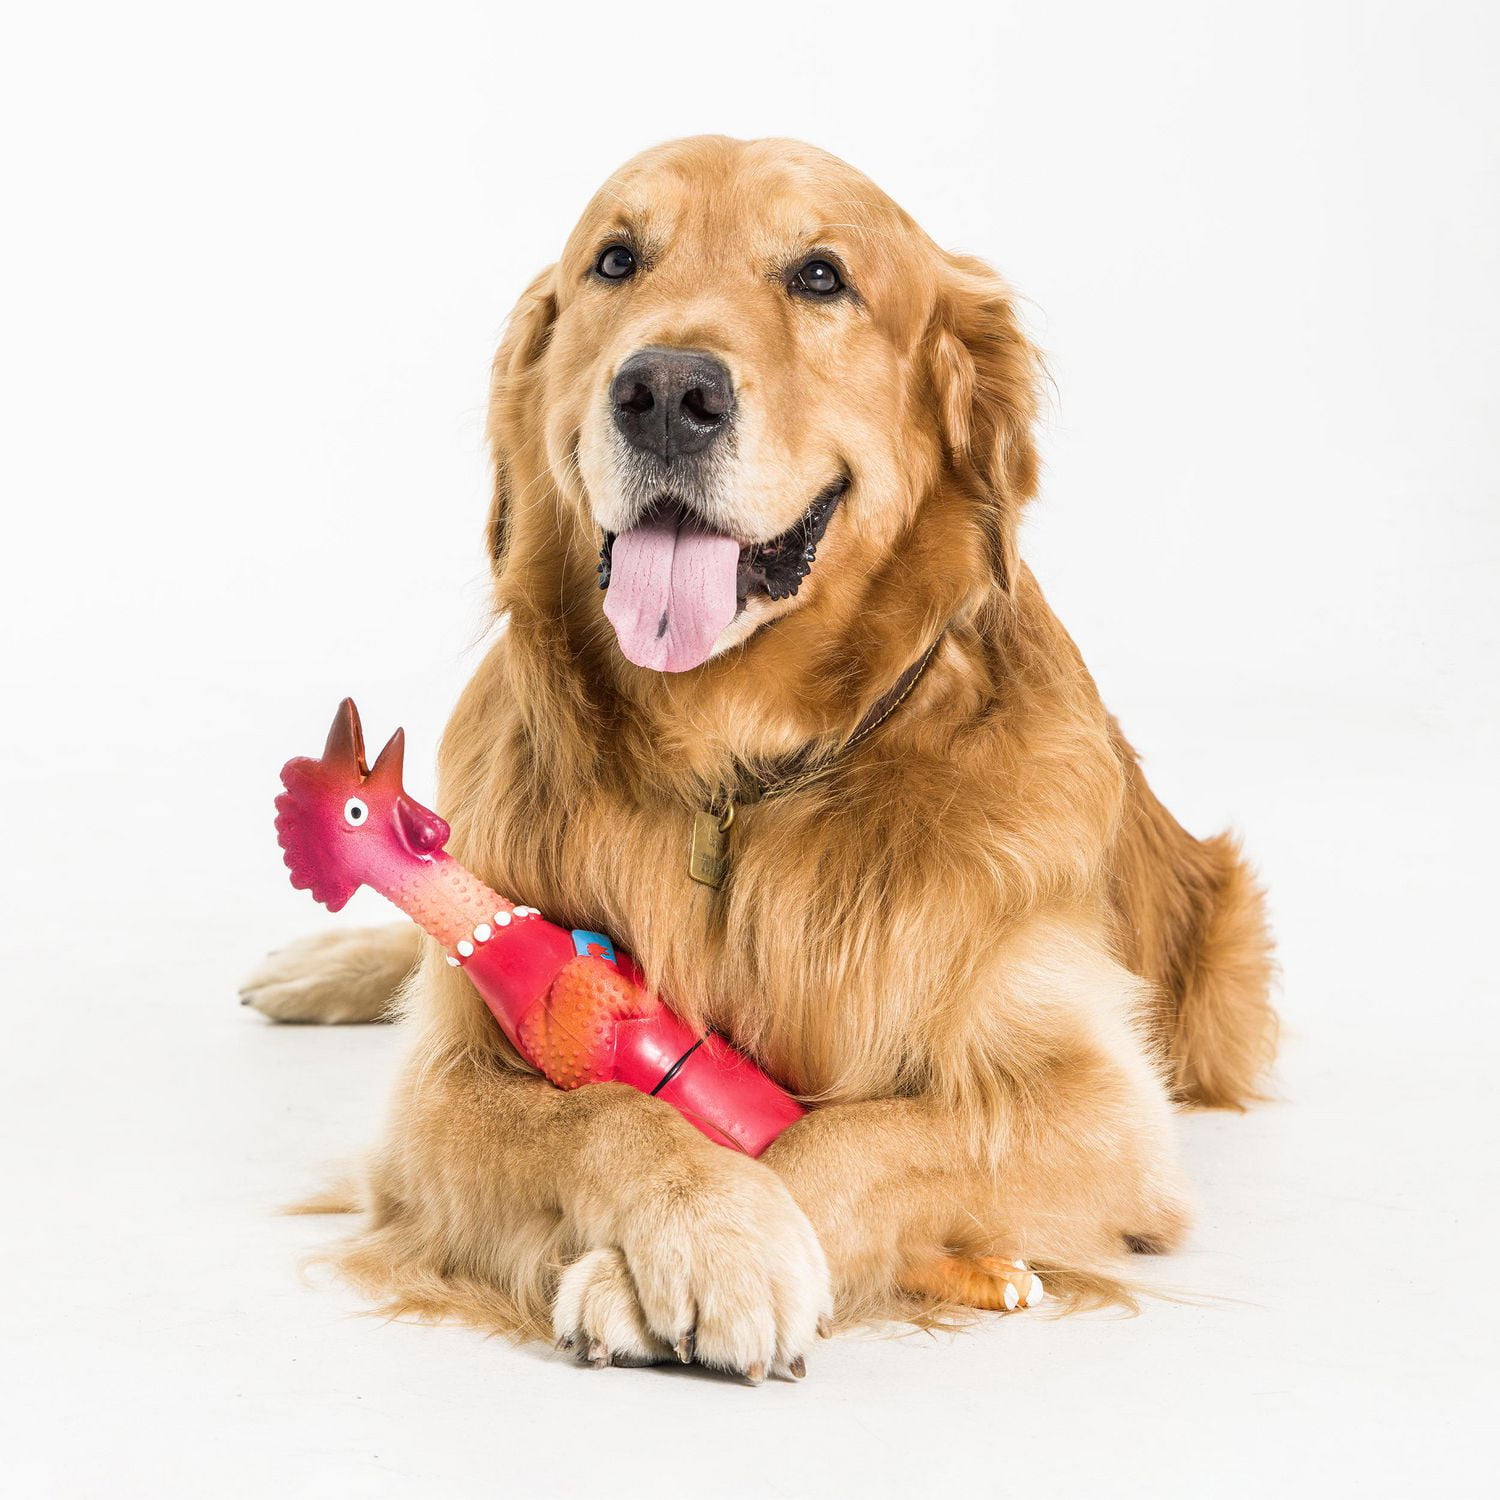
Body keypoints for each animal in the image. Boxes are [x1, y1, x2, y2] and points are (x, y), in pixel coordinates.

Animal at [246, 135, 1278, 1374]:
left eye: (821, 276)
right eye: (616, 260)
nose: (665, 393)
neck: (735, 772)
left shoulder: (1102, 1113)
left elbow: (850, 1139)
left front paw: (705, 1251)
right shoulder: (444, 1095)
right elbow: (599, 1109)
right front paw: (708, 1226)